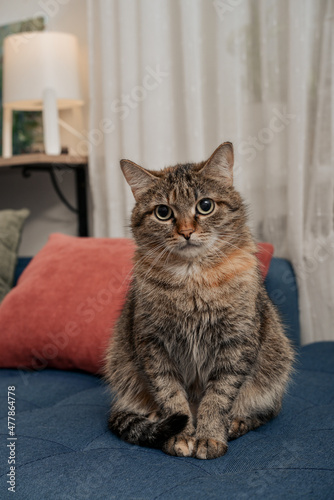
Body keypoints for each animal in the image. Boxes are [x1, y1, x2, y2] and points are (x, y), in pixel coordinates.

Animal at [105, 143, 294, 458]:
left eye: (205, 206)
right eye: (163, 212)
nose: (186, 232)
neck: (192, 280)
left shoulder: (237, 342)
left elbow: (218, 397)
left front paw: (209, 436)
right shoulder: (152, 343)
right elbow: (171, 395)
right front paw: (181, 435)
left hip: (276, 364)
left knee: (265, 411)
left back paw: (237, 422)